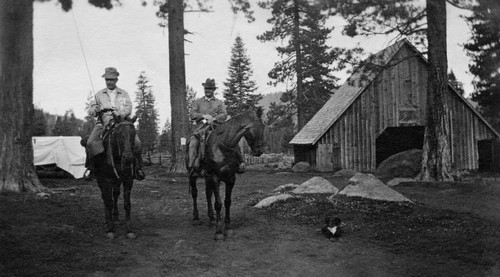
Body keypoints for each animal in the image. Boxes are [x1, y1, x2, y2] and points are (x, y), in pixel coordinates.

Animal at [188, 106, 266, 238]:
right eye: (260, 126)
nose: (259, 151)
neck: (222, 147)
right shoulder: (214, 177)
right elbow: (218, 204)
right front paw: (219, 231)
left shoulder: (230, 178)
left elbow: (227, 202)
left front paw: (228, 227)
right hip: (192, 175)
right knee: (194, 193)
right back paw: (196, 217)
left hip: (207, 177)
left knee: (208, 194)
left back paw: (211, 218)